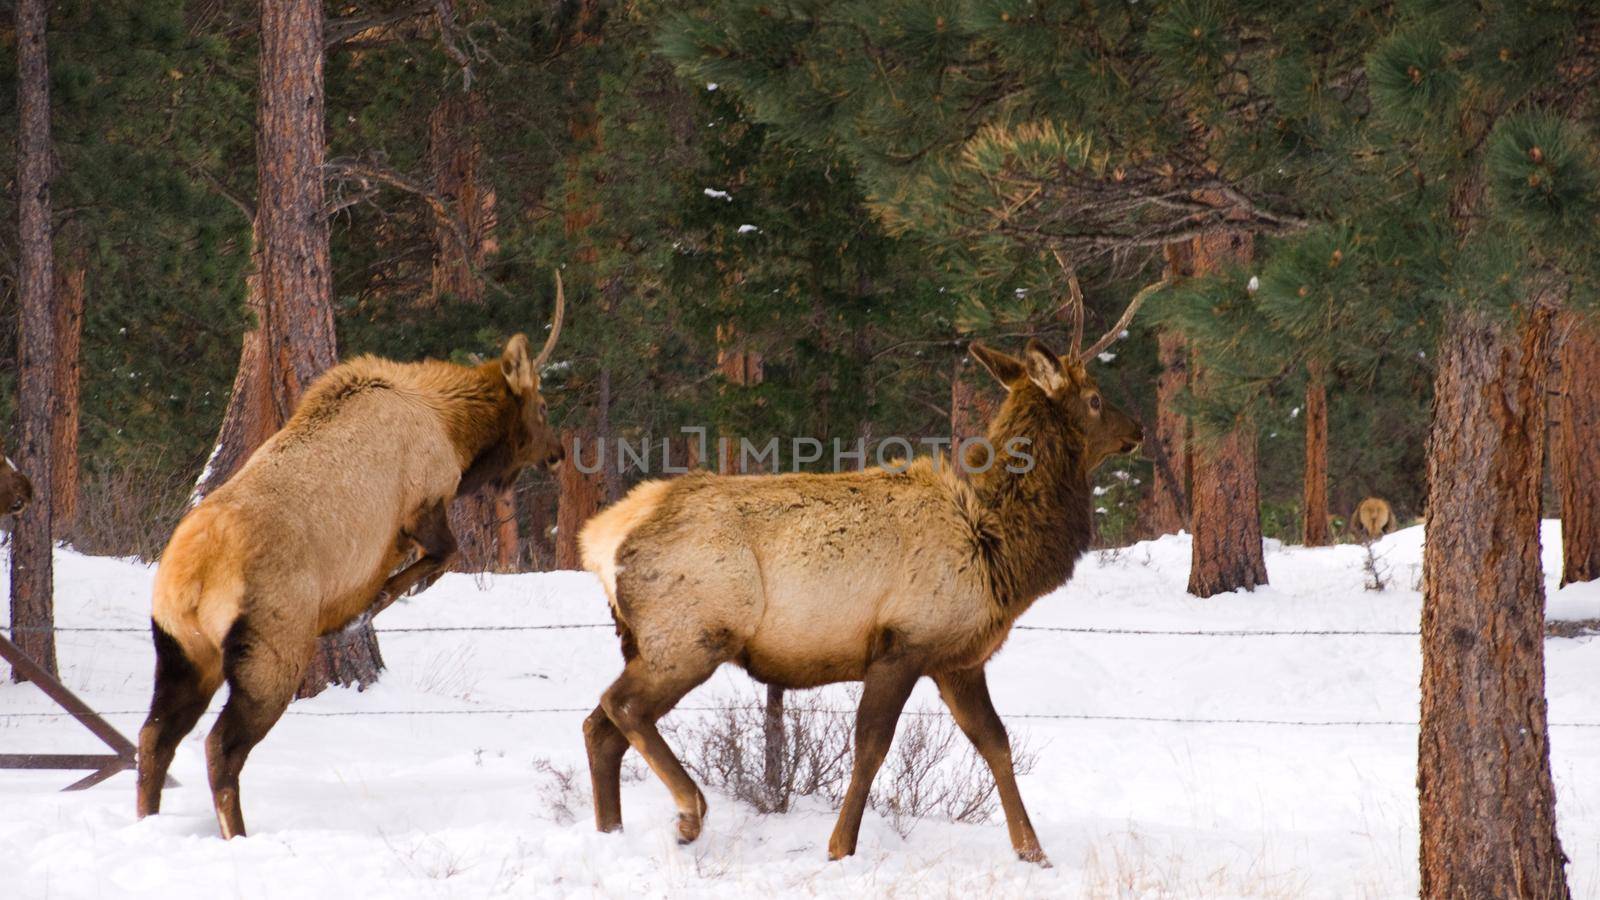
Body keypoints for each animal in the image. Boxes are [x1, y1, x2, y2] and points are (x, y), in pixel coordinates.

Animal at [136, 272, 569, 832]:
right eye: (542, 406)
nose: (559, 454)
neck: (455, 432)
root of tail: (190, 578)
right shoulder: (424, 502)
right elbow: (440, 559)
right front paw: (367, 609)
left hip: (183, 651)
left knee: (154, 736)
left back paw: (146, 821)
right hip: (270, 650)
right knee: (220, 747)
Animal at [582, 275, 1158, 864]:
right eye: (1094, 399)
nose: (1138, 428)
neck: (998, 547)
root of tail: (600, 540)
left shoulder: (957, 659)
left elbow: (996, 742)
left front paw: (1033, 852)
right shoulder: (901, 643)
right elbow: (871, 747)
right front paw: (840, 847)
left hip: (648, 641)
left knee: (599, 727)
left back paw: (610, 833)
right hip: (691, 634)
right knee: (620, 706)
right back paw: (688, 813)